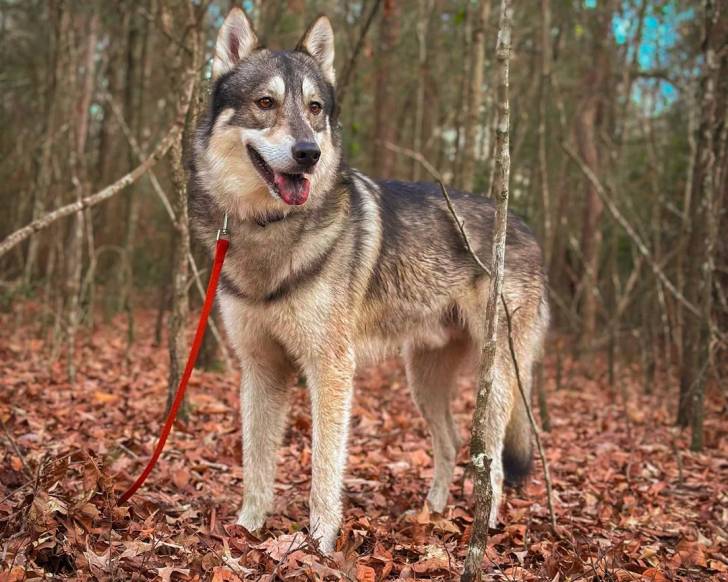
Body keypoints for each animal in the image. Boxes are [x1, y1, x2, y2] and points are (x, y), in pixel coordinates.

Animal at [188, 7, 549, 553]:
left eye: (315, 108)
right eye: (265, 103)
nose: (308, 153)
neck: (267, 230)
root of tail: (527, 229)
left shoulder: (332, 369)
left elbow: (324, 470)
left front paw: (318, 544)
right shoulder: (261, 368)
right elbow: (256, 464)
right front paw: (246, 530)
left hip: (497, 383)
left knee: (492, 466)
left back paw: (481, 532)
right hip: (423, 379)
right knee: (449, 445)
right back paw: (431, 514)